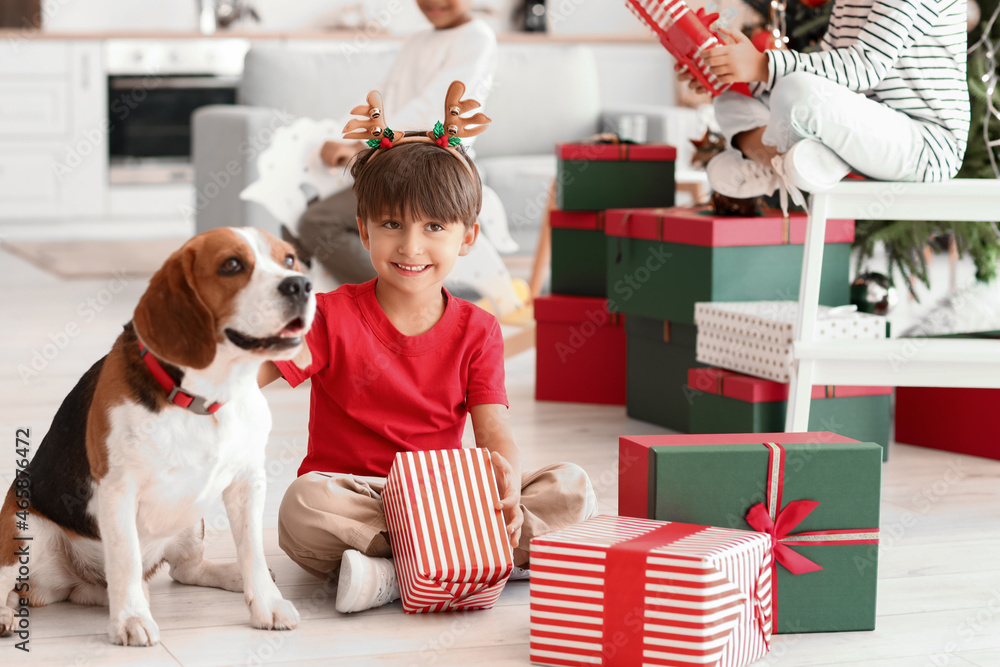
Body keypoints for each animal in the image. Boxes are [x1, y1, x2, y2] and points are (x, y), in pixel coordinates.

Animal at [0, 227, 314, 644]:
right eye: (231, 265)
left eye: (289, 259)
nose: (301, 285)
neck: (204, 397)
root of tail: (72, 584)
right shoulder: (118, 489)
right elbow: (126, 558)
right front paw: (131, 619)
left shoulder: (248, 481)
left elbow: (254, 551)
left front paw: (267, 603)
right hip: (23, 530)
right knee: (10, 584)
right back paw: (8, 616)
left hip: (191, 521)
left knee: (186, 570)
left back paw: (228, 574)